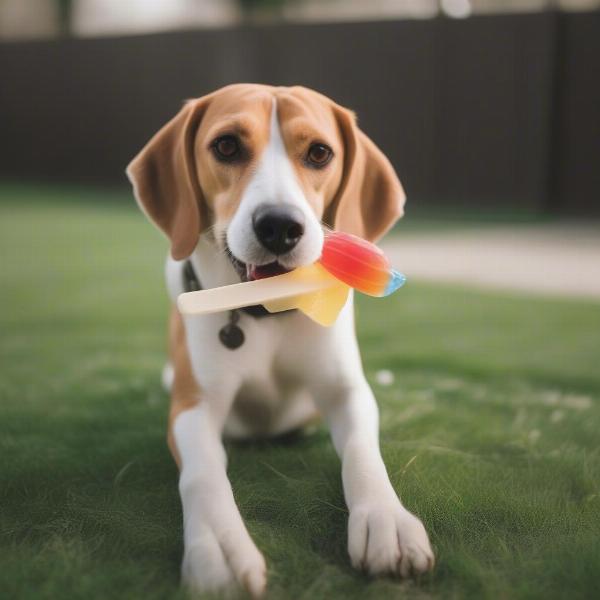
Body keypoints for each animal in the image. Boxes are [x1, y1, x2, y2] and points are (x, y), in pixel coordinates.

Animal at [126, 83, 434, 596]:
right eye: (226, 146)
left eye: (319, 153)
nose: (279, 225)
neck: (265, 314)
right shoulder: (193, 408)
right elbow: (202, 474)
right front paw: (219, 547)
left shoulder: (347, 392)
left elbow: (363, 453)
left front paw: (386, 519)